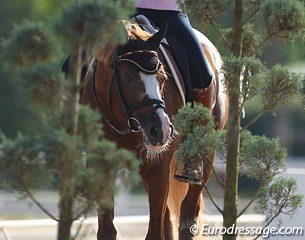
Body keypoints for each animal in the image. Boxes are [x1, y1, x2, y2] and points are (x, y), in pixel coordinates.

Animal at [79, 22, 227, 240]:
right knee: (169, 221)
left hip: (205, 156)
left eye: (163, 78)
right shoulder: (101, 164)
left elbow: (155, 231)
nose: (162, 130)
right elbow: (107, 229)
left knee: (188, 212)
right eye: (128, 77)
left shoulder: (158, 166)